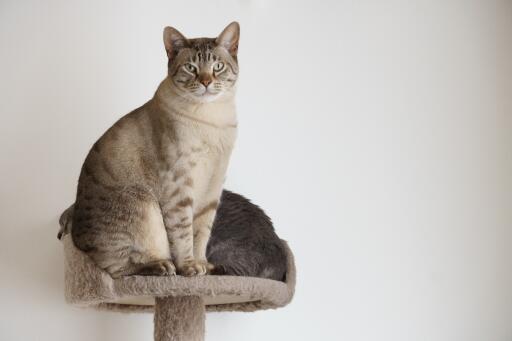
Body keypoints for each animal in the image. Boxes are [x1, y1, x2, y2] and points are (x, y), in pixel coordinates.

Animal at [69, 21, 241, 278]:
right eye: (191, 68)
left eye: (217, 67)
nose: (206, 82)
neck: (213, 120)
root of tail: (76, 239)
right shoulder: (179, 186)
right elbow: (183, 234)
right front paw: (189, 267)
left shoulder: (213, 189)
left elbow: (201, 234)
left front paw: (202, 266)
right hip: (143, 205)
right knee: (119, 269)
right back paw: (162, 266)